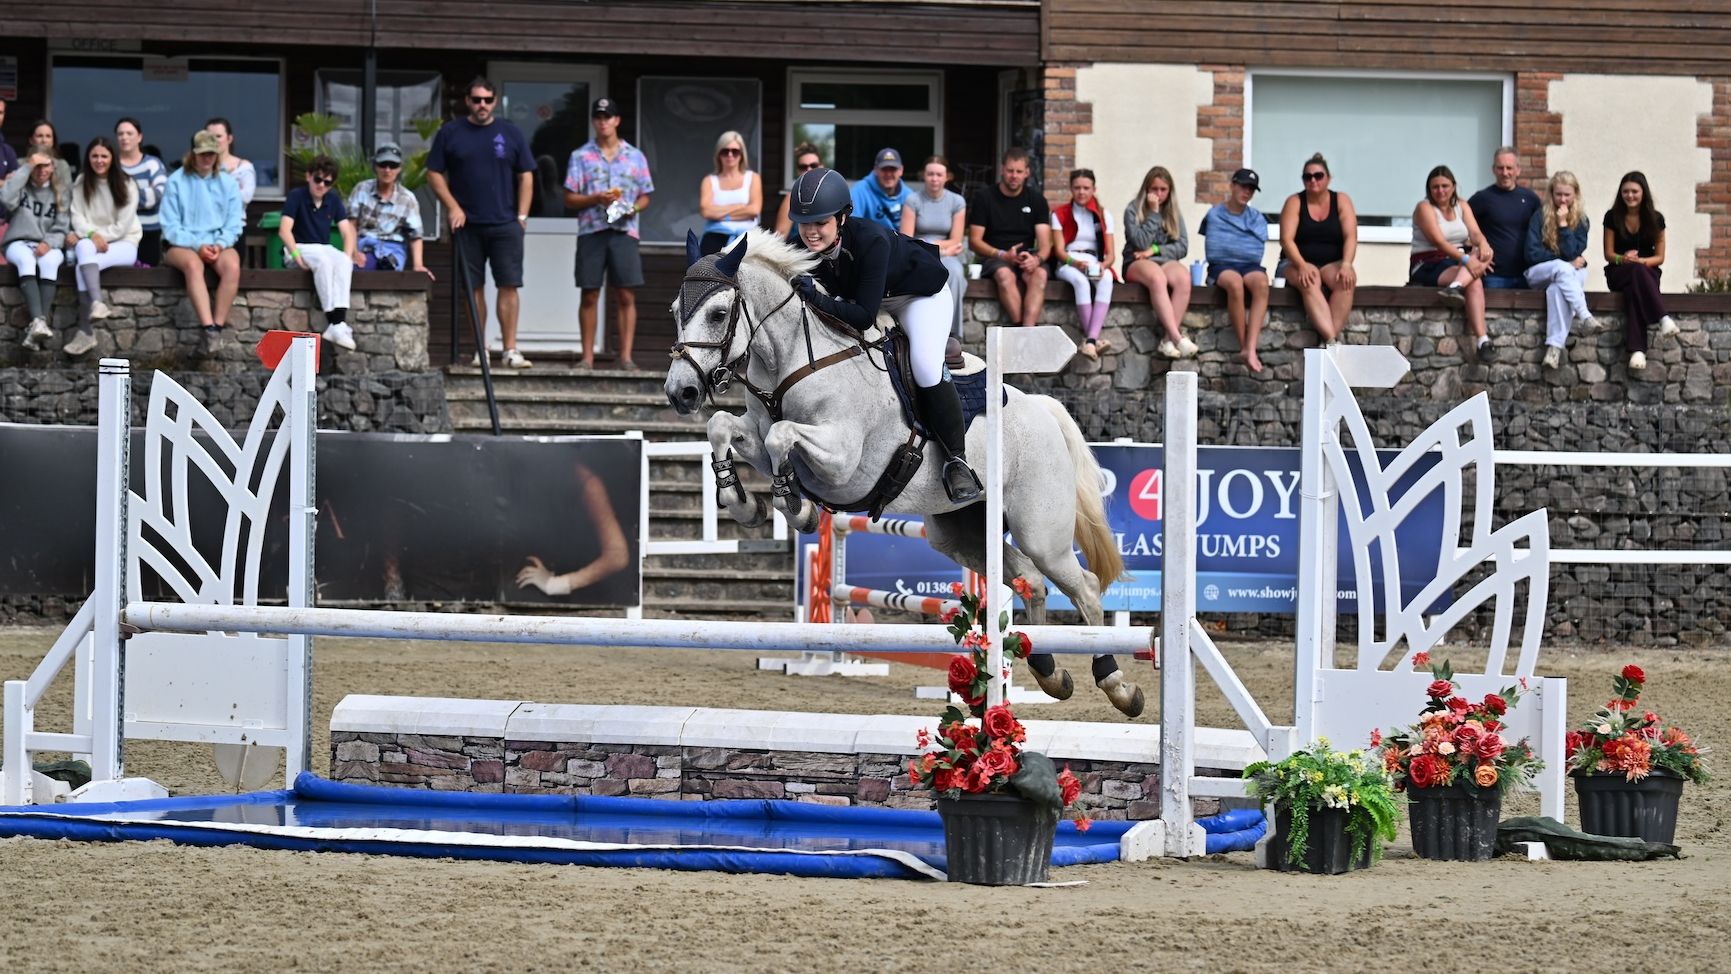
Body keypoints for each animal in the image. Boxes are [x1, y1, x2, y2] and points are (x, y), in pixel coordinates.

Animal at [663, 228, 1145, 717]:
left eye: (718, 313)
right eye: (675, 312)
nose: (681, 393)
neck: (796, 360)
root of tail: (1045, 410)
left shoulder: (842, 460)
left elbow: (782, 437)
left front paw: (796, 508)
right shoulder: (758, 436)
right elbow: (722, 426)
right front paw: (743, 503)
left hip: (1040, 530)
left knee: (1084, 587)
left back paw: (1117, 684)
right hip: (962, 533)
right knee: (1031, 580)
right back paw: (1049, 671)